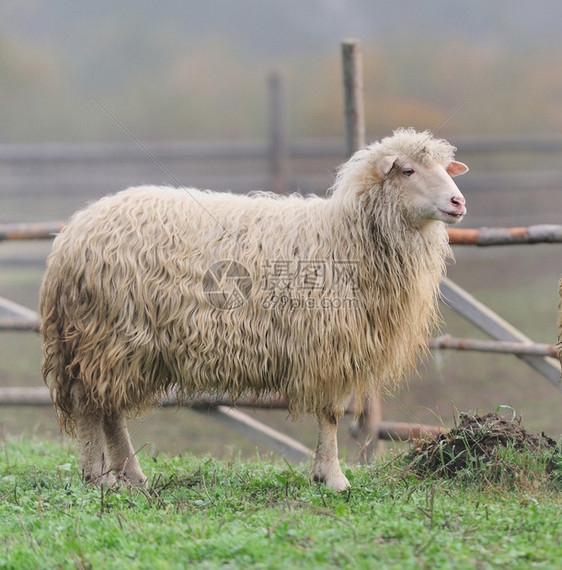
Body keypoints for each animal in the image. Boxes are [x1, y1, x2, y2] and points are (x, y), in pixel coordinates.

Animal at [40, 127, 468, 488]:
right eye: (408, 170)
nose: (458, 201)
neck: (346, 234)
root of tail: (72, 235)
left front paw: (321, 473)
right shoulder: (326, 344)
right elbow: (330, 413)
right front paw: (333, 477)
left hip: (115, 345)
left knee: (106, 408)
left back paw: (126, 475)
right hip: (111, 335)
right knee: (92, 405)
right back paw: (103, 476)